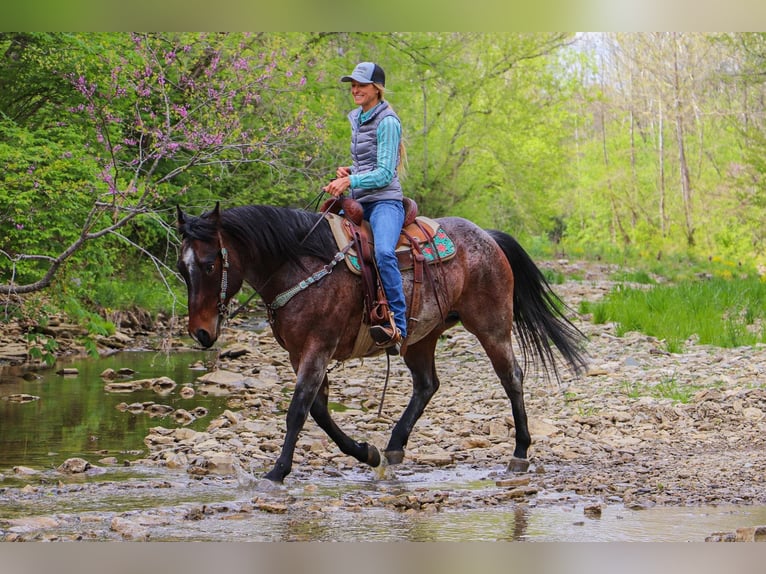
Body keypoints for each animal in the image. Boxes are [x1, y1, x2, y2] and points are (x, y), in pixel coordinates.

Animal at [178, 205, 588, 484]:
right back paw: (393, 446)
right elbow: (319, 411)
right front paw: (367, 453)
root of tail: (487, 236)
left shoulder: (317, 349)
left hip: (492, 326)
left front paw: (277, 471)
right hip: (421, 337)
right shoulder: (300, 354)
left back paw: (519, 452)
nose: (200, 333)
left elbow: (298, 411)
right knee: (427, 385)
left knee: (512, 377)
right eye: (183, 269)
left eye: (210, 264)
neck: (300, 265)